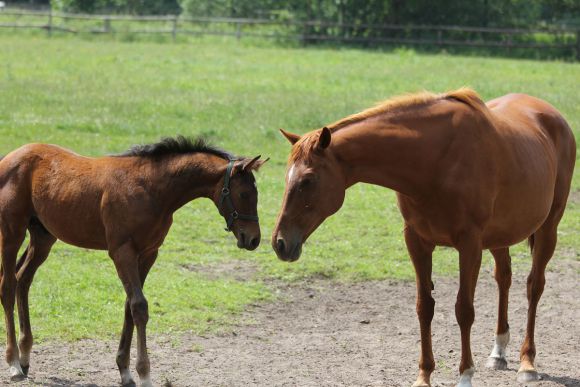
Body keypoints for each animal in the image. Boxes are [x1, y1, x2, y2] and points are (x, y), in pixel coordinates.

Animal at [0, 136, 268, 384]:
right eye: (244, 193)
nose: (253, 239)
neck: (150, 189)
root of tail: (10, 158)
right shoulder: (122, 252)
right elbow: (139, 306)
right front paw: (144, 374)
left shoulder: (148, 253)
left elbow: (130, 306)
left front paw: (125, 371)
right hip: (12, 231)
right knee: (8, 286)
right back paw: (13, 363)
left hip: (43, 236)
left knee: (23, 278)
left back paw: (25, 358)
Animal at [272, 89, 576, 387]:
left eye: (308, 180)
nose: (279, 242)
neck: (436, 161)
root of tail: (554, 117)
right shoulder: (417, 241)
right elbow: (424, 307)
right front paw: (424, 375)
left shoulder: (469, 244)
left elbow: (464, 309)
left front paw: (465, 375)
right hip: (500, 235)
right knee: (504, 277)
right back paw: (498, 352)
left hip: (548, 227)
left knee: (534, 286)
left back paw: (527, 363)